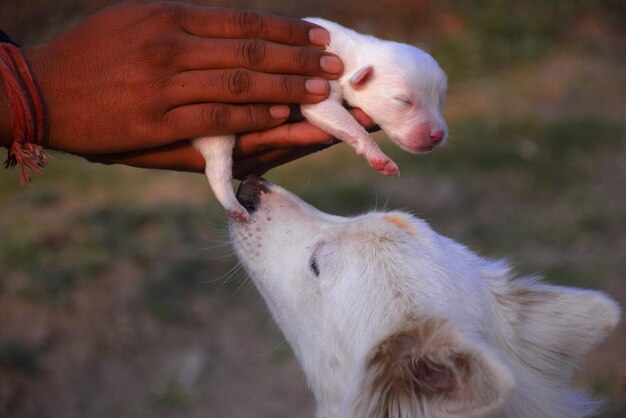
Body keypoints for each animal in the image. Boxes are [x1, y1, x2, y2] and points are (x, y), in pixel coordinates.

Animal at [193, 18, 446, 222]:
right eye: (402, 100)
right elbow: (339, 119)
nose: (439, 134)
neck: (350, 56)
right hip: (218, 125)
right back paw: (233, 206)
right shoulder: (319, 84)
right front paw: (379, 157)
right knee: (217, 166)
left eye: (440, 99)